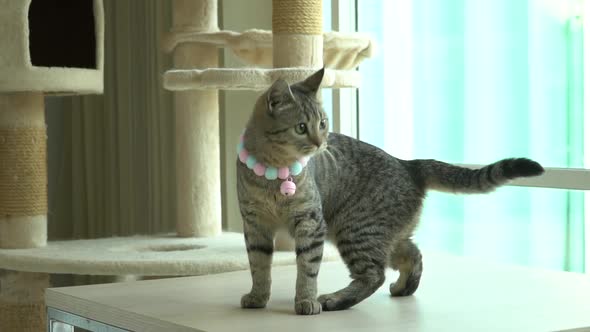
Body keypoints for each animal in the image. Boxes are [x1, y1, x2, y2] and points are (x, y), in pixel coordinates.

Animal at [236, 68, 544, 316]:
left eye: (323, 123)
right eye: (301, 127)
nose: (320, 142)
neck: (275, 174)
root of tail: (408, 164)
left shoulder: (310, 223)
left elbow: (307, 269)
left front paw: (306, 300)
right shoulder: (254, 224)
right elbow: (259, 266)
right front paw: (258, 297)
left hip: (355, 229)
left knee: (375, 275)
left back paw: (336, 300)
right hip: (373, 233)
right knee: (411, 254)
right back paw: (403, 287)